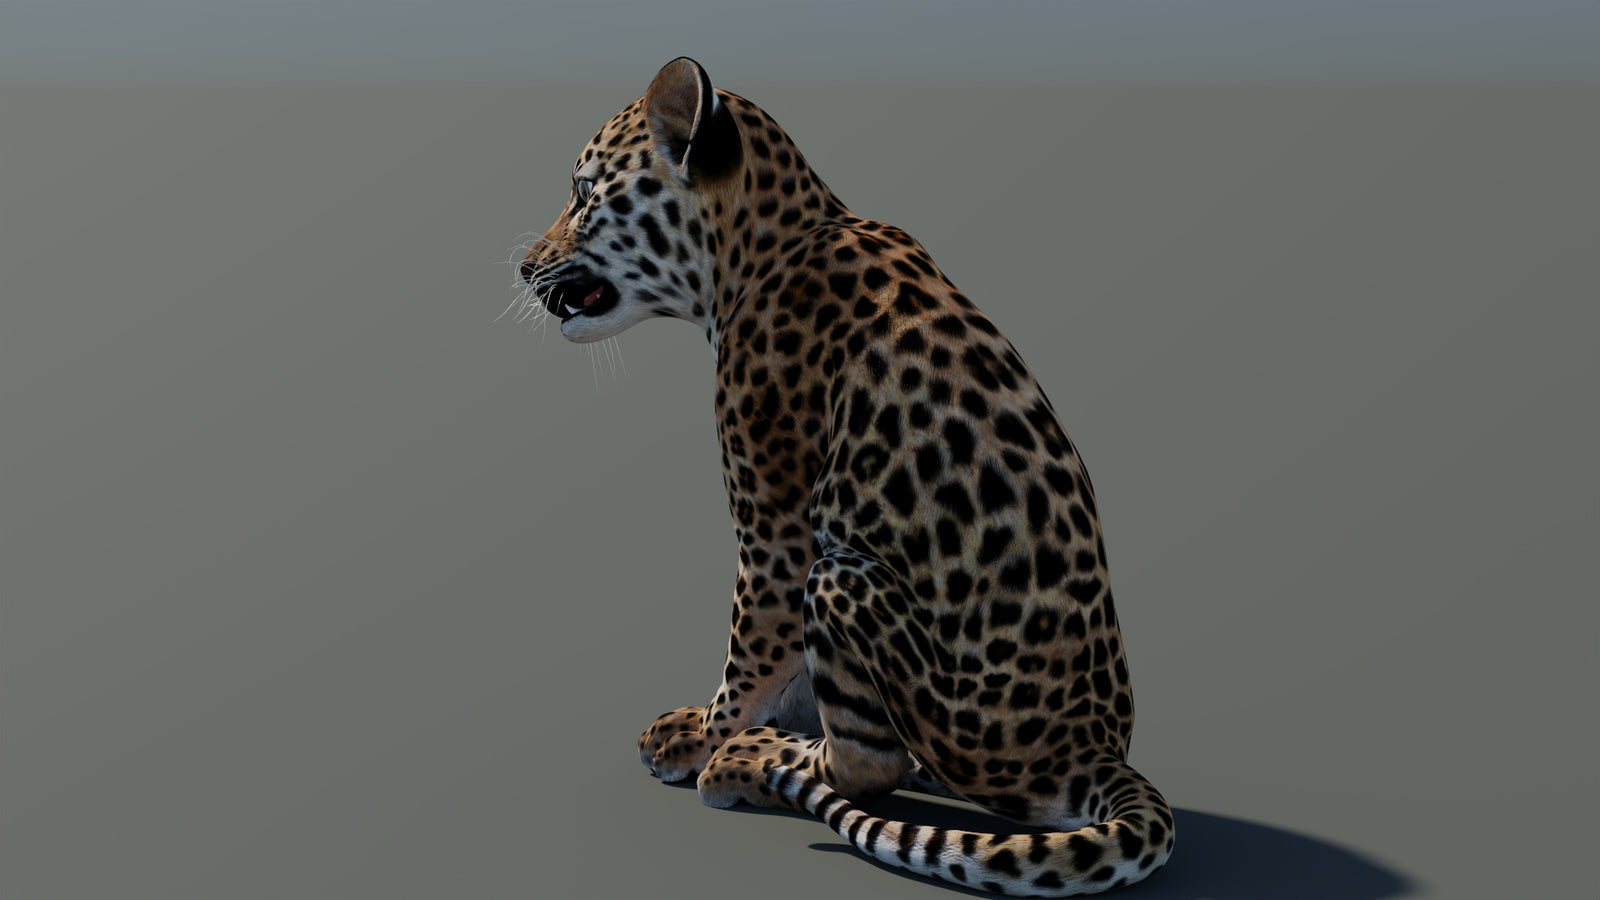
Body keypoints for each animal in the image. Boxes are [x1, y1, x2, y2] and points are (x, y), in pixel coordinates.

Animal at [514, 57, 1174, 896]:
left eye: (584, 195)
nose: (523, 266)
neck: (755, 250)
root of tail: (1095, 749)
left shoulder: (776, 526)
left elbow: (750, 649)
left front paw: (706, 739)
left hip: (845, 576)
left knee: (870, 764)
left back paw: (749, 762)